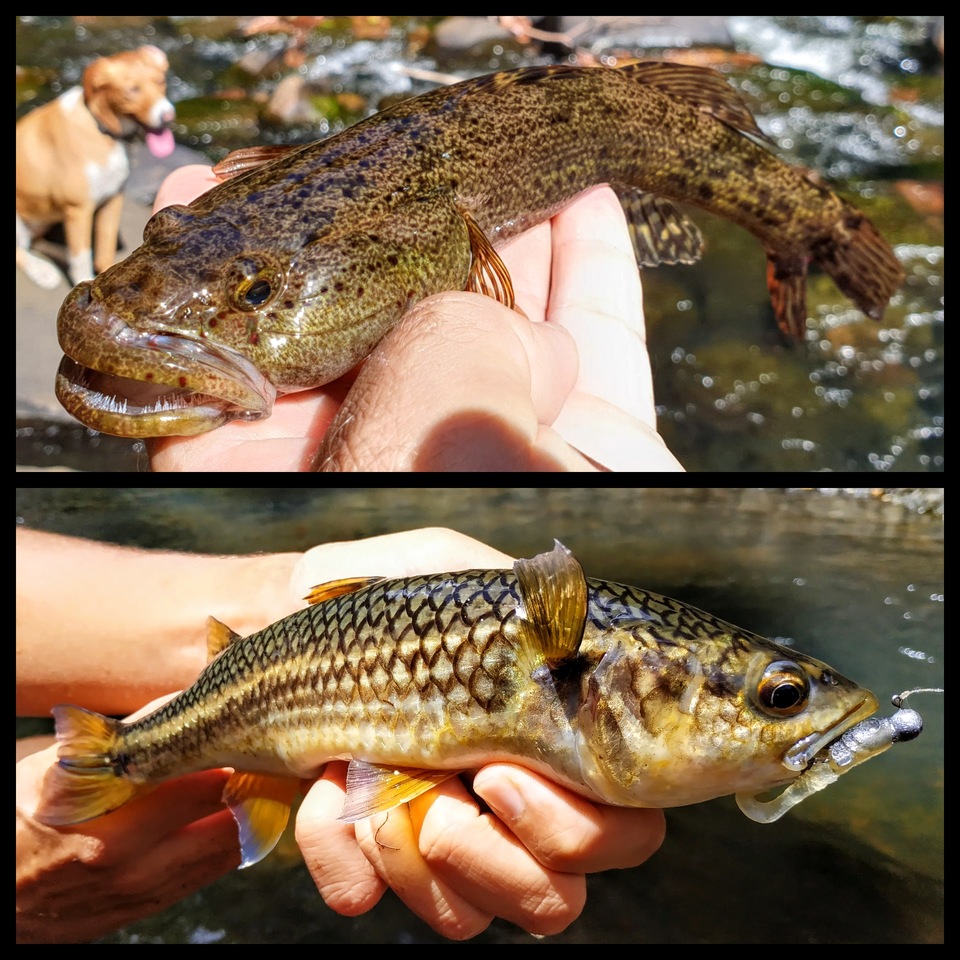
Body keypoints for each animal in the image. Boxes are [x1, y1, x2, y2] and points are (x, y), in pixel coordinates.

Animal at [15, 43, 176, 288]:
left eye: (160, 81)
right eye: (132, 90)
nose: (168, 116)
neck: (102, 130)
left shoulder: (112, 200)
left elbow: (105, 249)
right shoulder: (79, 209)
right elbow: (81, 258)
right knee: (20, 251)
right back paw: (41, 271)